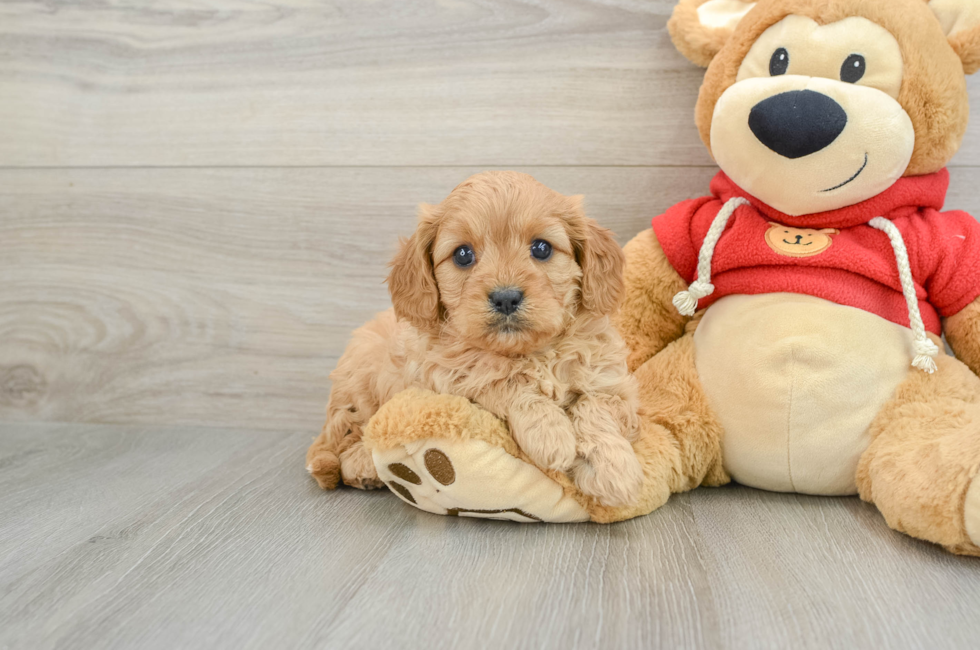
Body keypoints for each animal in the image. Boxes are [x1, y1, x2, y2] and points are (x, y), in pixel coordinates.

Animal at [306, 171, 644, 506]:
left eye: (542, 248)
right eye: (463, 254)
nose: (506, 298)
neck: (530, 352)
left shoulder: (612, 383)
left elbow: (596, 406)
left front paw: (614, 471)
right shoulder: (449, 377)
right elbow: (502, 380)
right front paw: (550, 434)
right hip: (360, 383)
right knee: (344, 437)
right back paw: (362, 463)